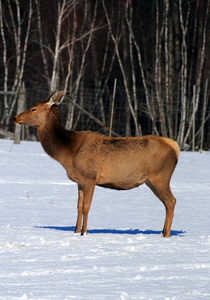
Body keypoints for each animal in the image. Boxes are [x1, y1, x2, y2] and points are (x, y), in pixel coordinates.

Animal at [13, 89, 180, 237]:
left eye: (33, 108)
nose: (15, 117)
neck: (68, 153)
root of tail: (175, 147)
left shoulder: (89, 177)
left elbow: (86, 207)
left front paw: (84, 233)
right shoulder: (79, 181)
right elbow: (78, 206)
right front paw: (75, 231)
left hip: (160, 176)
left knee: (171, 201)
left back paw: (166, 235)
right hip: (150, 180)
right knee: (166, 203)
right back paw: (163, 232)